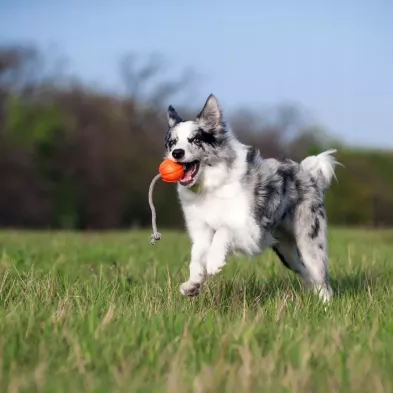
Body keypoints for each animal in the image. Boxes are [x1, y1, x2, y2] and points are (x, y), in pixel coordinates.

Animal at [164, 93, 338, 302]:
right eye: (172, 142)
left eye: (196, 139)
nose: (176, 153)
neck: (209, 187)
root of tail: (310, 175)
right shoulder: (201, 232)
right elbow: (196, 257)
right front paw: (193, 283)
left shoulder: (250, 229)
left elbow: (224, 230)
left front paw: (214, 261)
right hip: (287, 253)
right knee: (306, 274)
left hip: (310, 242)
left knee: (321, 279)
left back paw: (325, 305)